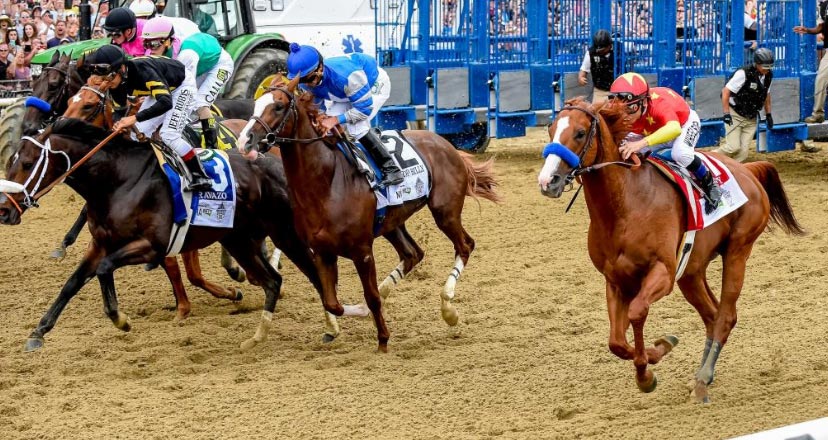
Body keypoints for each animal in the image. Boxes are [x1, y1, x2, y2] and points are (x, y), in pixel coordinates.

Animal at [236, 79, 502, 352]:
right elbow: (333, 303)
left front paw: (383, 339)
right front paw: (349, 319)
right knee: (413, 254)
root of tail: (447, 145)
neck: (326, 184)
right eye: (255, 104)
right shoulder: (322, 251)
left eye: (278, 107)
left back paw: (449, 309)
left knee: (465, 246)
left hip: (444, 212)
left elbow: (371, 296)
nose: (245, 140)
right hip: (391, 223)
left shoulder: (362, 251)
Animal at [536, 98, 804, 404]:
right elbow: (616, 341)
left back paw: (701, 380)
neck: (624, 206)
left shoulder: (662, 274)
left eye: (580, 133)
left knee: (726, 315)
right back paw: (703, 375)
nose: (548, 181)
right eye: (551, 129)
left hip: (738, 251)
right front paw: (655, 354)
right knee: (712, 314)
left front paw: (648, 370)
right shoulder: (615, 280)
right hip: (691, 271)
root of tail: (748, 170)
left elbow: (637, 313)